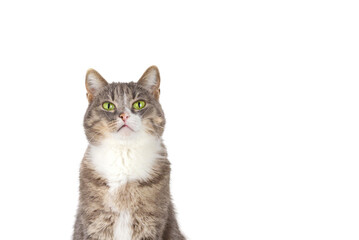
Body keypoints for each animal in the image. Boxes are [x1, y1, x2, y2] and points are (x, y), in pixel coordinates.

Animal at [73, 66, 186, 240]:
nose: (124, 115)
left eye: (139, 104)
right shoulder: (96, 223)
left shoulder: (150, 224)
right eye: (108, 105)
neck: (124, 156)